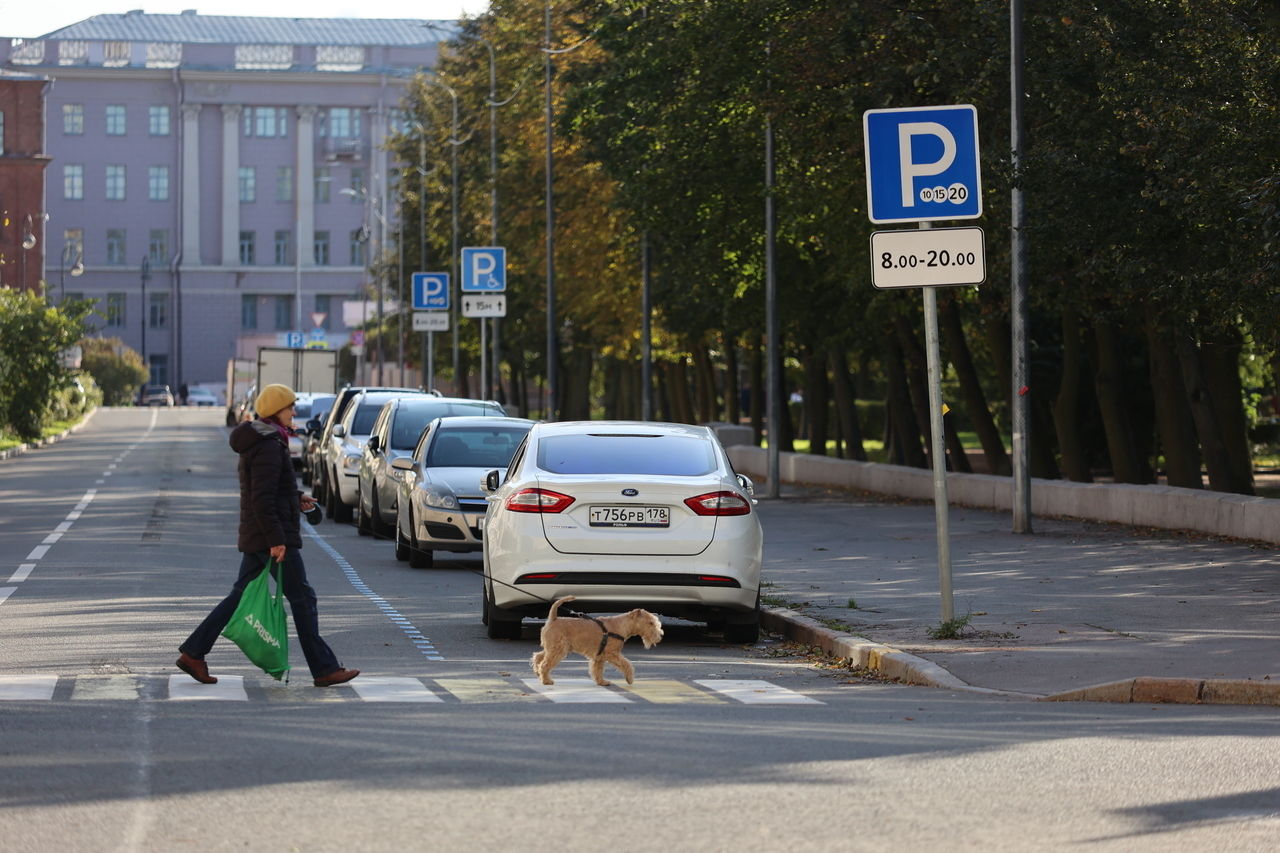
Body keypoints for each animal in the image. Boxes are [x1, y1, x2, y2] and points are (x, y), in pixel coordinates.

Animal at [532, 594, 670, 686]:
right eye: (650, 623)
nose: (660, 636)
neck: (622, 625)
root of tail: (553, 619)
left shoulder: (599, 656)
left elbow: (598, 670)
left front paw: (602, 682)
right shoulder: (612, 653)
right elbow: (626, 664)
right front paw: (630, 679)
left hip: (552, 648)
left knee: (538, 657)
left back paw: (538, 673)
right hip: (558, 649)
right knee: (545, 664)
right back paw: (546, 680)